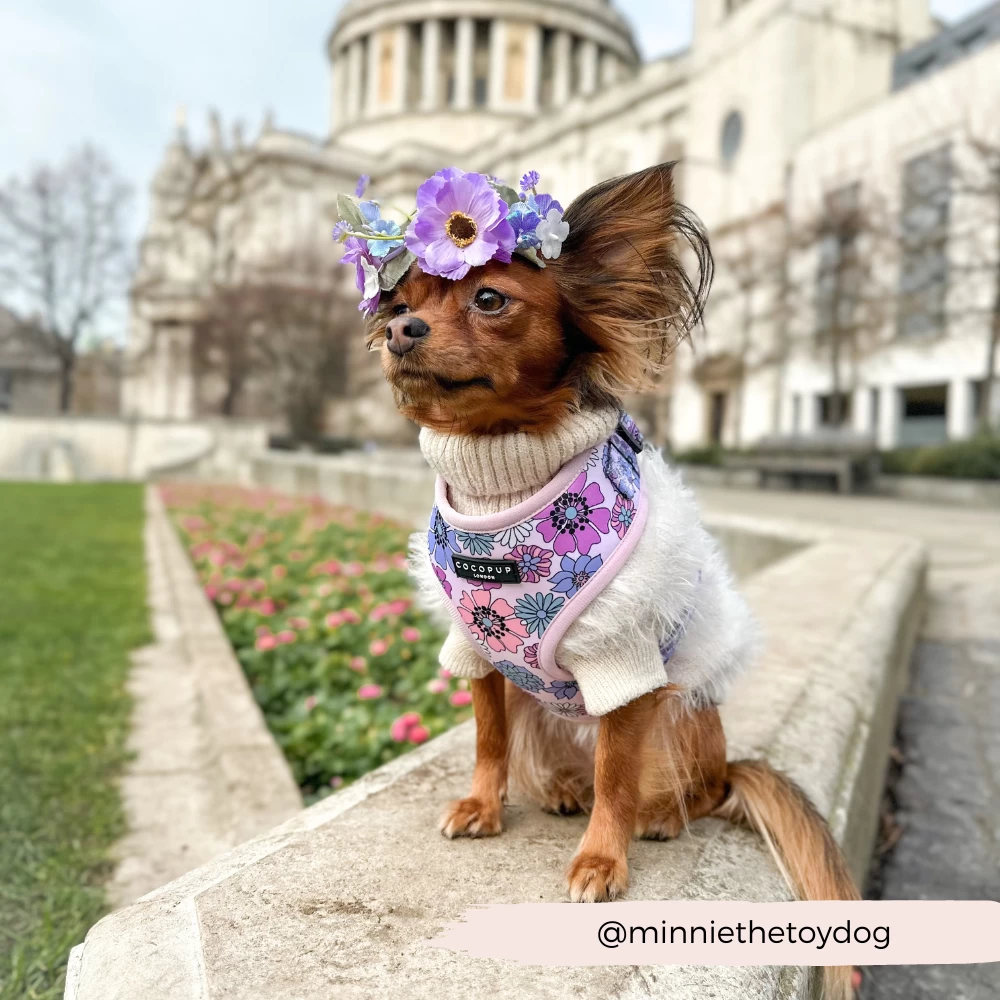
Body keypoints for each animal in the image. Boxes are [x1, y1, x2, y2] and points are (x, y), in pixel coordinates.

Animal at [341, 162, 859, 999]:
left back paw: (657, 814)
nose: (398, 332)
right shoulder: (477, 650)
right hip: (542, 702)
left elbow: (616, 777)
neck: (502, 485)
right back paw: (559, 788)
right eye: (398, 305)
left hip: (679, 717)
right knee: (562, 760)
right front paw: (485, 805)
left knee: (690, 790)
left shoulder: (621, 660)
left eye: (490, 300)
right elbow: (489, 741)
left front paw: (601, 858)